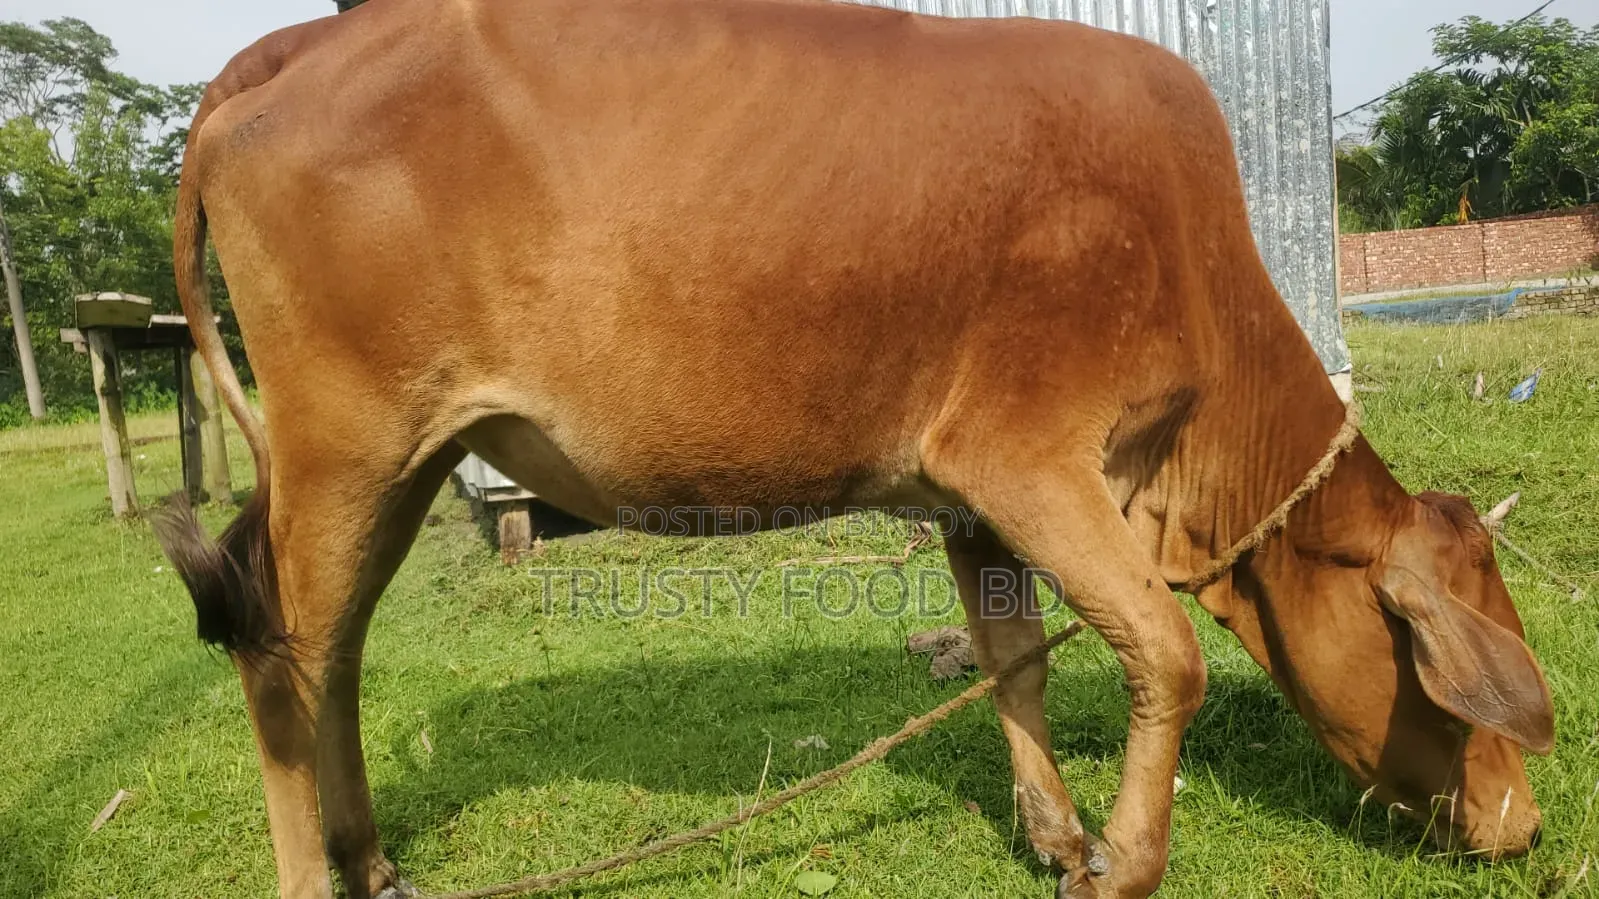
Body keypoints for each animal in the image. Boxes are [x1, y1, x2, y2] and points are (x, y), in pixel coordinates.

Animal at [154, 0, 1556, 896]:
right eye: (1439, 667)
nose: (1526, 824)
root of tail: (300, 42)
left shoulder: (974, 498)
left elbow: (1012, 661)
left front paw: (1057, 839)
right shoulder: (1027, 458)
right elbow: (1166, 652)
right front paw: (1123, 860)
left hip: (400, 459)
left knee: (331, 653)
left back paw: (371, 856)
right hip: (344, 443)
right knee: (280, 662)